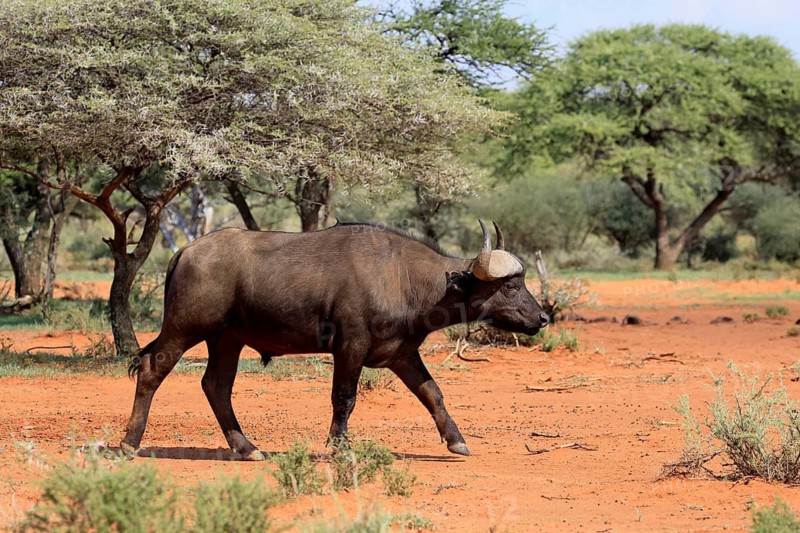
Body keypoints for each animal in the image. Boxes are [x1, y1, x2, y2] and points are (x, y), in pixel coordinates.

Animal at [121, 220, 548, 459]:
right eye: (511, 285)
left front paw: (456, 440)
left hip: (226, 339)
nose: (543, 317)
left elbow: (433, 394)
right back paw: (129, 442)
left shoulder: (402, 355)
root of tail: (186, 250)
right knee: (152, 369)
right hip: (185, 328)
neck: (402, 276)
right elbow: (344, 398)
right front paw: (339, 446)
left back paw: (246, 448)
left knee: (216, 385)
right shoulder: (350, 347)